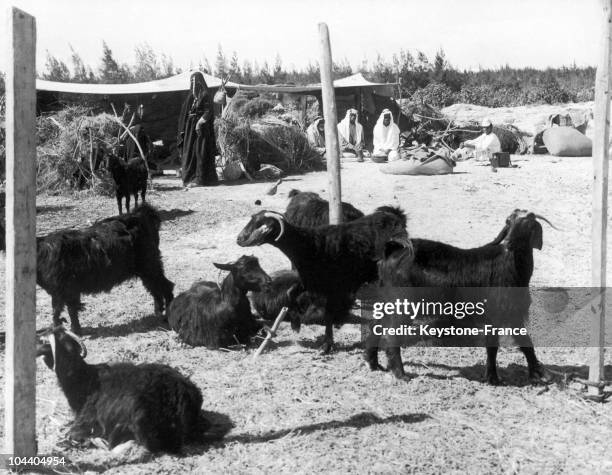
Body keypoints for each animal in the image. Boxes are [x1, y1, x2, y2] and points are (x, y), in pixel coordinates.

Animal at [35, 205, 175, 334]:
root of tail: (140, 214)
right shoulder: (59, 292)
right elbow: (60, 311)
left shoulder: (66, 290)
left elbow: (66, 311)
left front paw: (74, 331)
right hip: (147, 270)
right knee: (155, 289)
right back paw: (157, 312)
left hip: (150, 266)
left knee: (166, 286)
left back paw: (168, 317)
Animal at [237, 206, 408, 352]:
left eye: (260, 225)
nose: (239, 239)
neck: (310, 245)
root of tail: (395, 216)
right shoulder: (310, 281)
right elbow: (291, 294)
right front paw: (295, 324)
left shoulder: (333, 286)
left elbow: (328, 314)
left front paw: (327, 345)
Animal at [368, 210, 556, 384]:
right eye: (509, 221)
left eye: (527, 222)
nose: (509, 242)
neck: (511, 263)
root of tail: (392, 251)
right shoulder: (501, 314)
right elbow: (498, 346)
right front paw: (494, 378)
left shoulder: (510, 315)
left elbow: (523, 343)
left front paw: (537, 373)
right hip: (403, 304)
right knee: (392, 335)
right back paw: (401, 374)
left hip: (387, 301)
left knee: (375, 326)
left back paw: (373, 363)